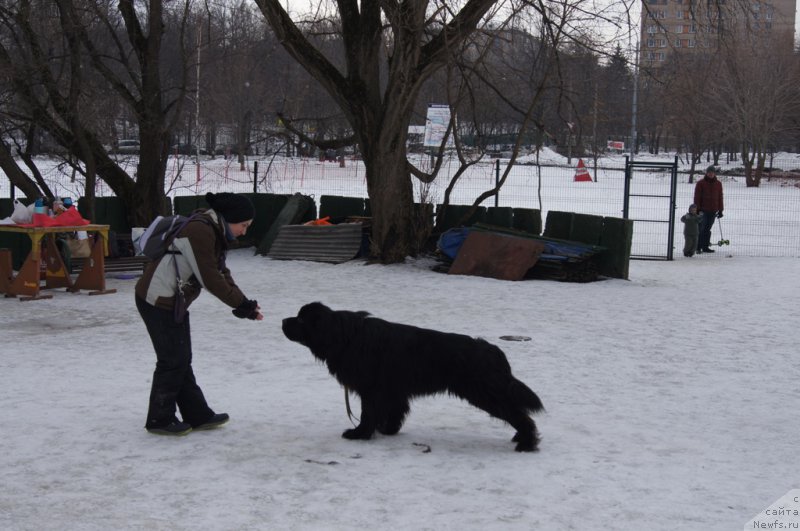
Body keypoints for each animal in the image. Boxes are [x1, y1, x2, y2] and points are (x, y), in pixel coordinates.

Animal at [282, 304, 544, 454]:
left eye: (302, 320)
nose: (283, 321)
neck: (345, 337)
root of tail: (494, 351)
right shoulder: (392, 390)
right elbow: (395, 412)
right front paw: (387, 430)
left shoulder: (372, 389)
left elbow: (368, 414)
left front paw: (359, 434)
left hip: (485, 393)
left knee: (520, 415)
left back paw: (527, 443)